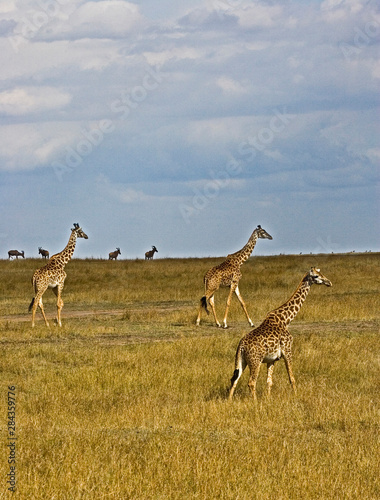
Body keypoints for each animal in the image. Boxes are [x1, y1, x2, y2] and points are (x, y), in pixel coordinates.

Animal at [229, 266, 332, 402]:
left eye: (321, 273)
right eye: (316, 276)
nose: (329, 282)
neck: (285, 319)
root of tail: (241, 346)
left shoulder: (272, 359)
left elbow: (269, 382)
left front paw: (268, 399)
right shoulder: (287, 350)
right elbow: (291, 378)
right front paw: (296, 396)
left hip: (241, 361)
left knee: (234, 380)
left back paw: (229, 401)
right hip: (255, 361)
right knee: (251, 382)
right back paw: (255, 402)